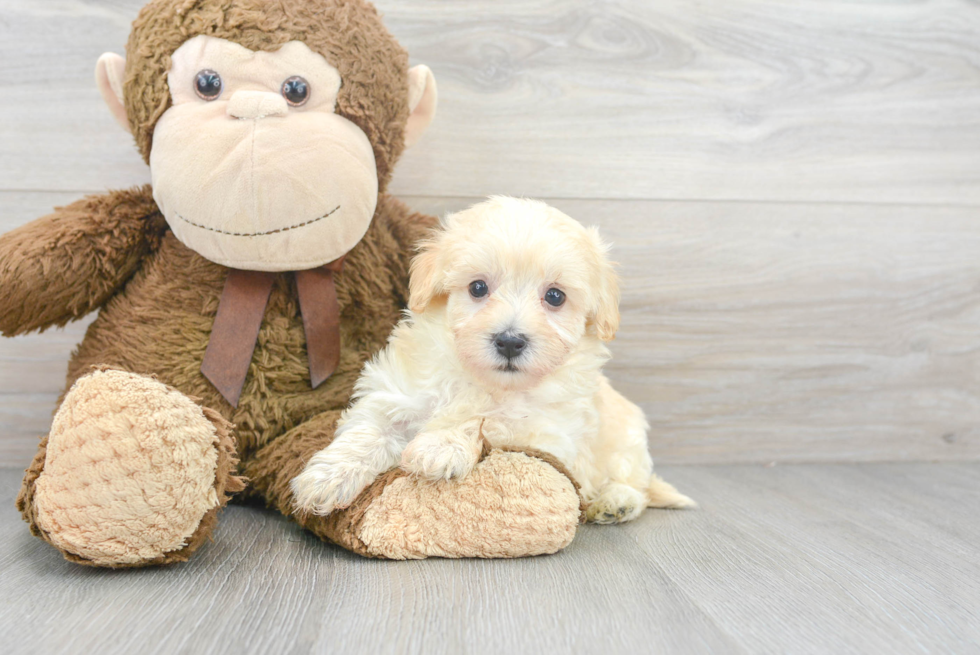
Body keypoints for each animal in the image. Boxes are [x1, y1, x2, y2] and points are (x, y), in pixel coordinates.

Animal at [288, 197, 692, 524]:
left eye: (555, 296)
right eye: (478, 288)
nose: (510, 341)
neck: (483, 379)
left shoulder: (544, 431)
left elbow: (487, 419)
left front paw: (441, 445)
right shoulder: (394, 395)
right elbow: (369, 431)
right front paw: (326, 479)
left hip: (627, 443)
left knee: (635, 484)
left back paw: (615, 502)